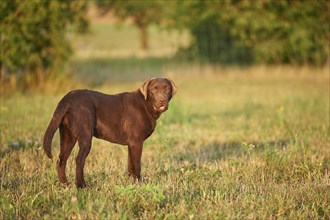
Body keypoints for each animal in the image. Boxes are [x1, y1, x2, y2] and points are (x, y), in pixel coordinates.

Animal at [44, 77, 178, 187]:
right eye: (153, 89)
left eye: (167, 89)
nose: (162, 101)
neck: (146, 105)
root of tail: (67, 98)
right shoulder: (137, 142)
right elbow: (137, 164)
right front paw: (139, 184)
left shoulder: (131, 144)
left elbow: (130, 165)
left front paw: (130, 183)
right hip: (85, 136)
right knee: (79, 160)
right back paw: (81, 185)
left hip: (68, 136)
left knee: (61, 160)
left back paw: (65, 184)